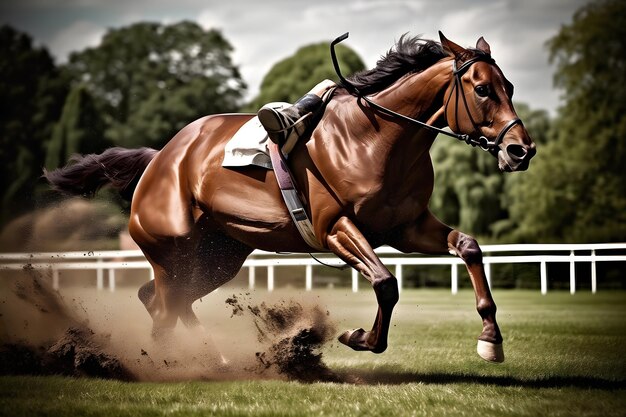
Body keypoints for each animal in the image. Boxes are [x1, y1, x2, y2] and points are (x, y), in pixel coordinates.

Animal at [46, 32, 536, 362]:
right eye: (482, 89)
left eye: (510, 87)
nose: (522, 150)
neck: (377, 139)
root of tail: (158, 159)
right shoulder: (334, 228)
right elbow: (385, 282)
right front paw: (360, 338)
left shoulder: (406, 227)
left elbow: (468, 246)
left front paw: (490, 339)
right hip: (173, 252)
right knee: (165, 306)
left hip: (218, 256)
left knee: (162, 300)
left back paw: (212, 357)